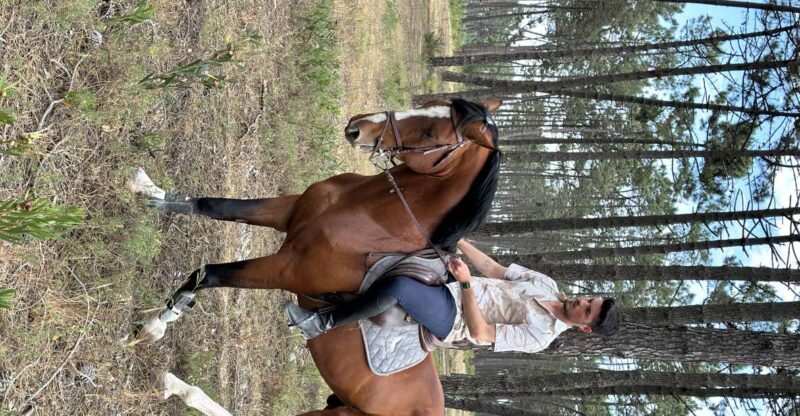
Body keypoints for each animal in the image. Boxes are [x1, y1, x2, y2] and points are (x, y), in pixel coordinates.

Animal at [131, 98, 502, 415]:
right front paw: (151, 191)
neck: (367, 214)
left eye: (430, 134)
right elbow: (214, 205)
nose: (357, 127)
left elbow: (208, 274)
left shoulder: (286, 269)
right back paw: (178, 387)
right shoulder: (288, 211)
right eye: (425, 103)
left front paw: (155, 325)